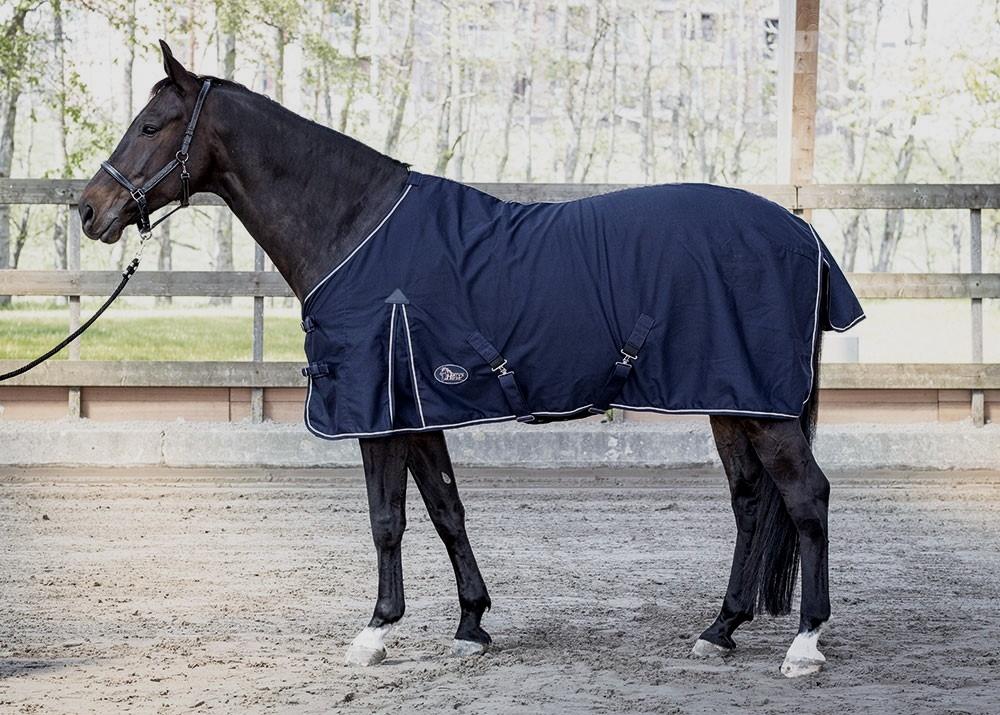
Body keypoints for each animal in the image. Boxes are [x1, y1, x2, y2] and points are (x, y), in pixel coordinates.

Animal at [78, 41, 863, 678]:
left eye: (151, 126)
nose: (89, 210)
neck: (353, 227)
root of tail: (802, 233)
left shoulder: (377, 414)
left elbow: (387, 519)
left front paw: (375, 632)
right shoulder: (418, 410)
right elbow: (446, 510)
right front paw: (471, 623)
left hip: (761, 409)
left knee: (807, 497)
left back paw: (805, 643)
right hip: (732, 400)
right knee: (752, 500)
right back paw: (720, 628)